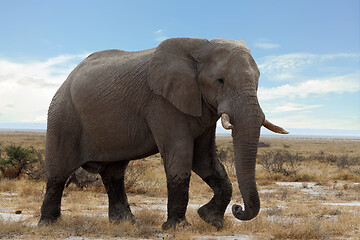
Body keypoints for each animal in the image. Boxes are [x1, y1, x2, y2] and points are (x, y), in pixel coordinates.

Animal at [38, 37, 286, 229]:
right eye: (220, 81)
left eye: (258, 81)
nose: (238, 208)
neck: (200, 46)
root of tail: (66, 79)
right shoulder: (162, 103)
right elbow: (181, 156)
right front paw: (178, 228)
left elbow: (205, 160)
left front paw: (210, 220)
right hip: (63, 117)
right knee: (59, 173)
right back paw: (49, 224)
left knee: (114, 174)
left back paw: (127, 223)